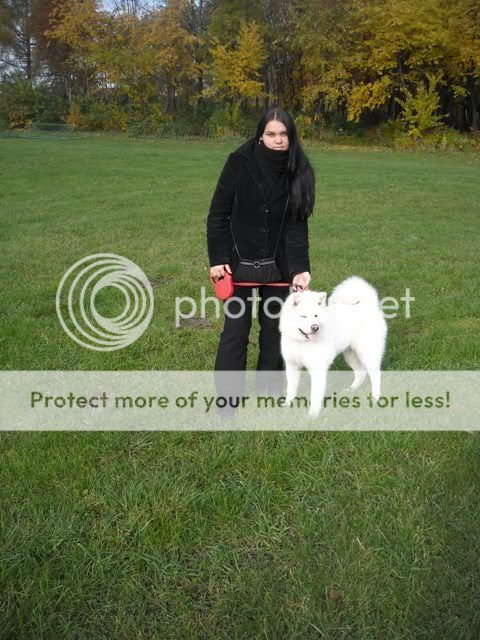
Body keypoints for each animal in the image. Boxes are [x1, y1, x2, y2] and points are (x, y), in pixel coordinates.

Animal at [279, 276, 387, 417]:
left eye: (316, 315)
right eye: (303, 316)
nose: (315, 327)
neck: (302, 343)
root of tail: (368, 306)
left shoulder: (317, 369)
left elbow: (315, 395)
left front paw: (313, 414)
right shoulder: (292, 366)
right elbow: (291, 389)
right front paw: (287, 404)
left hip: (367, 354)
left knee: (376, 375)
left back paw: (376, 398)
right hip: (350, 354)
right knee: (360, 372)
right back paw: (352, 389)